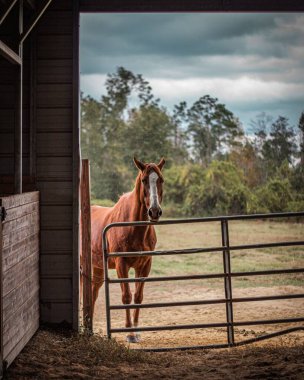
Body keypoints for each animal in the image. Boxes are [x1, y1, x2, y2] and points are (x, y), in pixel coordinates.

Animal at [90, 156, 166, 342]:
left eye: (161, 180)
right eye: (144, 180)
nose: (154, 212)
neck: (133, 227)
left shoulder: (144, 265)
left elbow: (138, 296)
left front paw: (137, 331)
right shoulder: (121, 264)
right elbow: (126, 296)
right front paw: (129, 333)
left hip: (98, 268)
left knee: (93, 293)